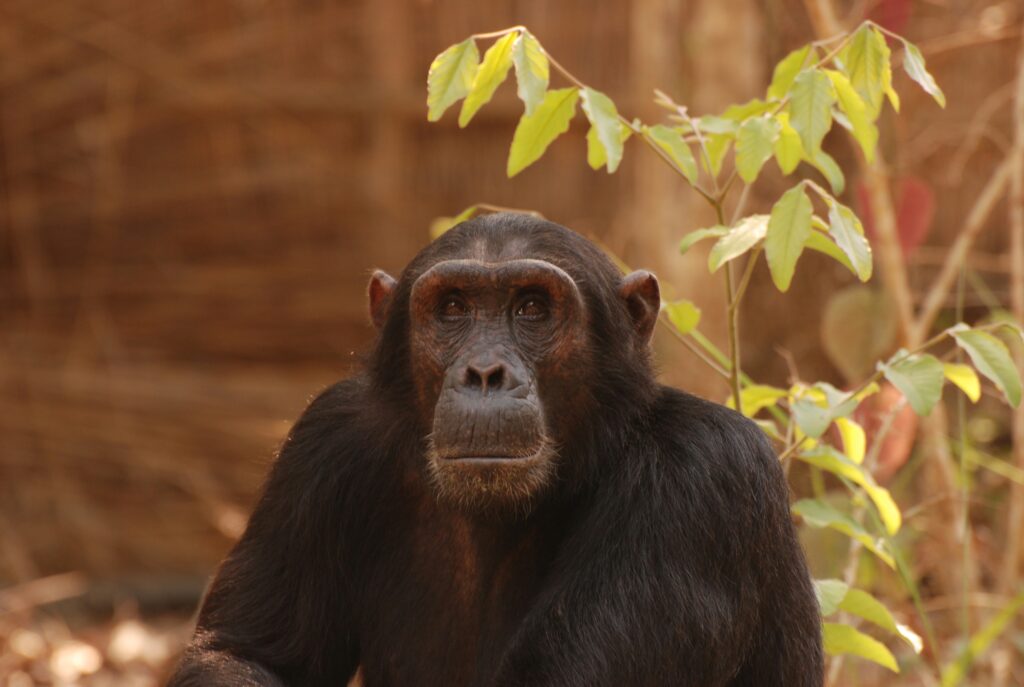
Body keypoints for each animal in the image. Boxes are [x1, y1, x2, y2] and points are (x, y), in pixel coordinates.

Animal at [167, 213, 823, 687]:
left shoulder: (703, 475)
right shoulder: (323, 442)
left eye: (532, 307)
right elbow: (246, 653)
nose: (485, 371)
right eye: (454, 307)